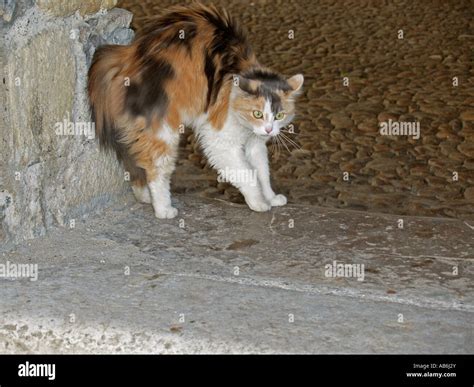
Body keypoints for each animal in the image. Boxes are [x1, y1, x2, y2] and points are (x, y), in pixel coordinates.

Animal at [89, 3, 304, 220]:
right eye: (257, 114)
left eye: (279, 116)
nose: (269, 130)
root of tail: (127, 54)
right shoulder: (220, 141)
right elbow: (247, 174)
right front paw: (258, 202)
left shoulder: (255, 145)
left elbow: (262, 172)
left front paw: (271, 197)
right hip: (164, 130)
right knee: (156, 169)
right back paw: (163, 209)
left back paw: (145, 197)